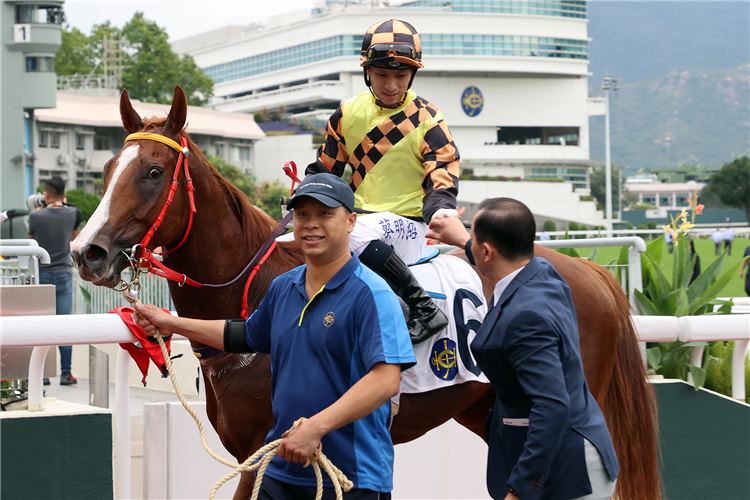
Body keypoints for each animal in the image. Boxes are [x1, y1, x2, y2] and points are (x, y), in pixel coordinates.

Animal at [69, 87, 656, 500]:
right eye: (107, 169)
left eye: (152, 171)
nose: (85, 251)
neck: (253, 296)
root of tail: (592, 271)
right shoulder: (256, 452)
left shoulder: (267, 449)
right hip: (489, 409)